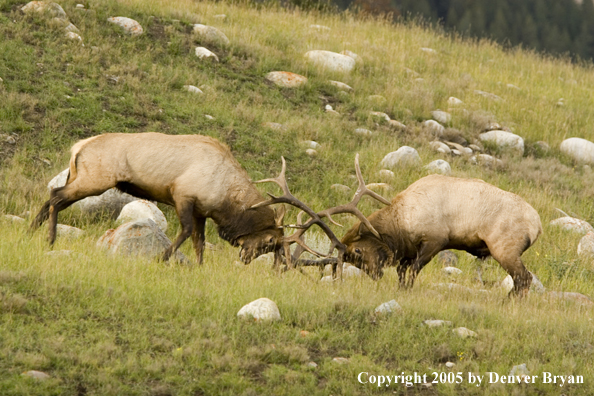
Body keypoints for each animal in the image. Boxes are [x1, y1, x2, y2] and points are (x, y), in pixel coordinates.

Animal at [30, 131, 284, 264]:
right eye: (271, 241)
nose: (247, 258)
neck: (225, 201)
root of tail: (78, 147)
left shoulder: (201, 211)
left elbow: (199, 242)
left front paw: (199, 267)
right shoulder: (183, 195)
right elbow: (185, 231)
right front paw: (162, 258)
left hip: (78, 178)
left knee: (51, 198)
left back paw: (31, 231)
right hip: (94, 180)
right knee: (55, 196)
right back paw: (50, 239)